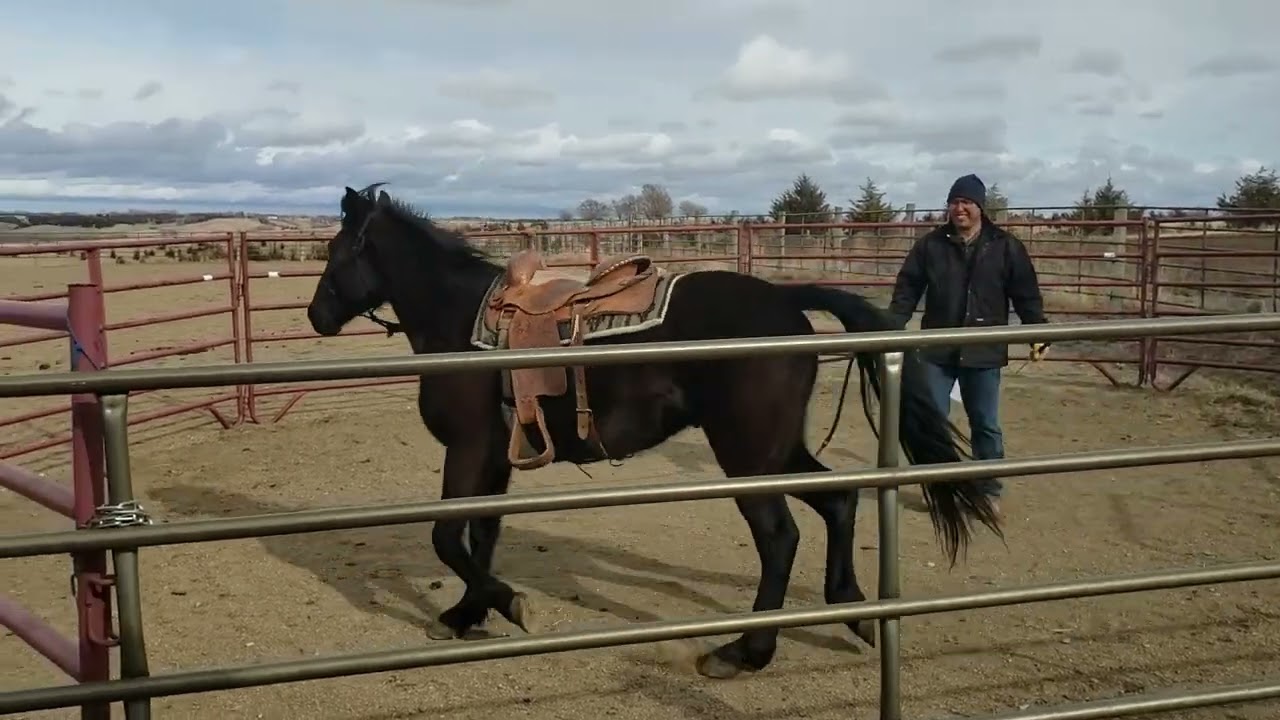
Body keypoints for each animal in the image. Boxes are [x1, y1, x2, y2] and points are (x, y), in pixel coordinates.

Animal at [305, 183, 1003, 680]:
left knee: (780, 537)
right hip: (777, 449)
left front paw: (503, 604)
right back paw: (853, 608)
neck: (462, 323)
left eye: (337, 253)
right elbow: (481, 536)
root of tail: (786, 301)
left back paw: (743, 653)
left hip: (747, 456)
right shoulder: (498, 459)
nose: (315, 316)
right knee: (837, 501)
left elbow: (449, 538)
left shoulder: (469, 450)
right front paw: (466, 614)